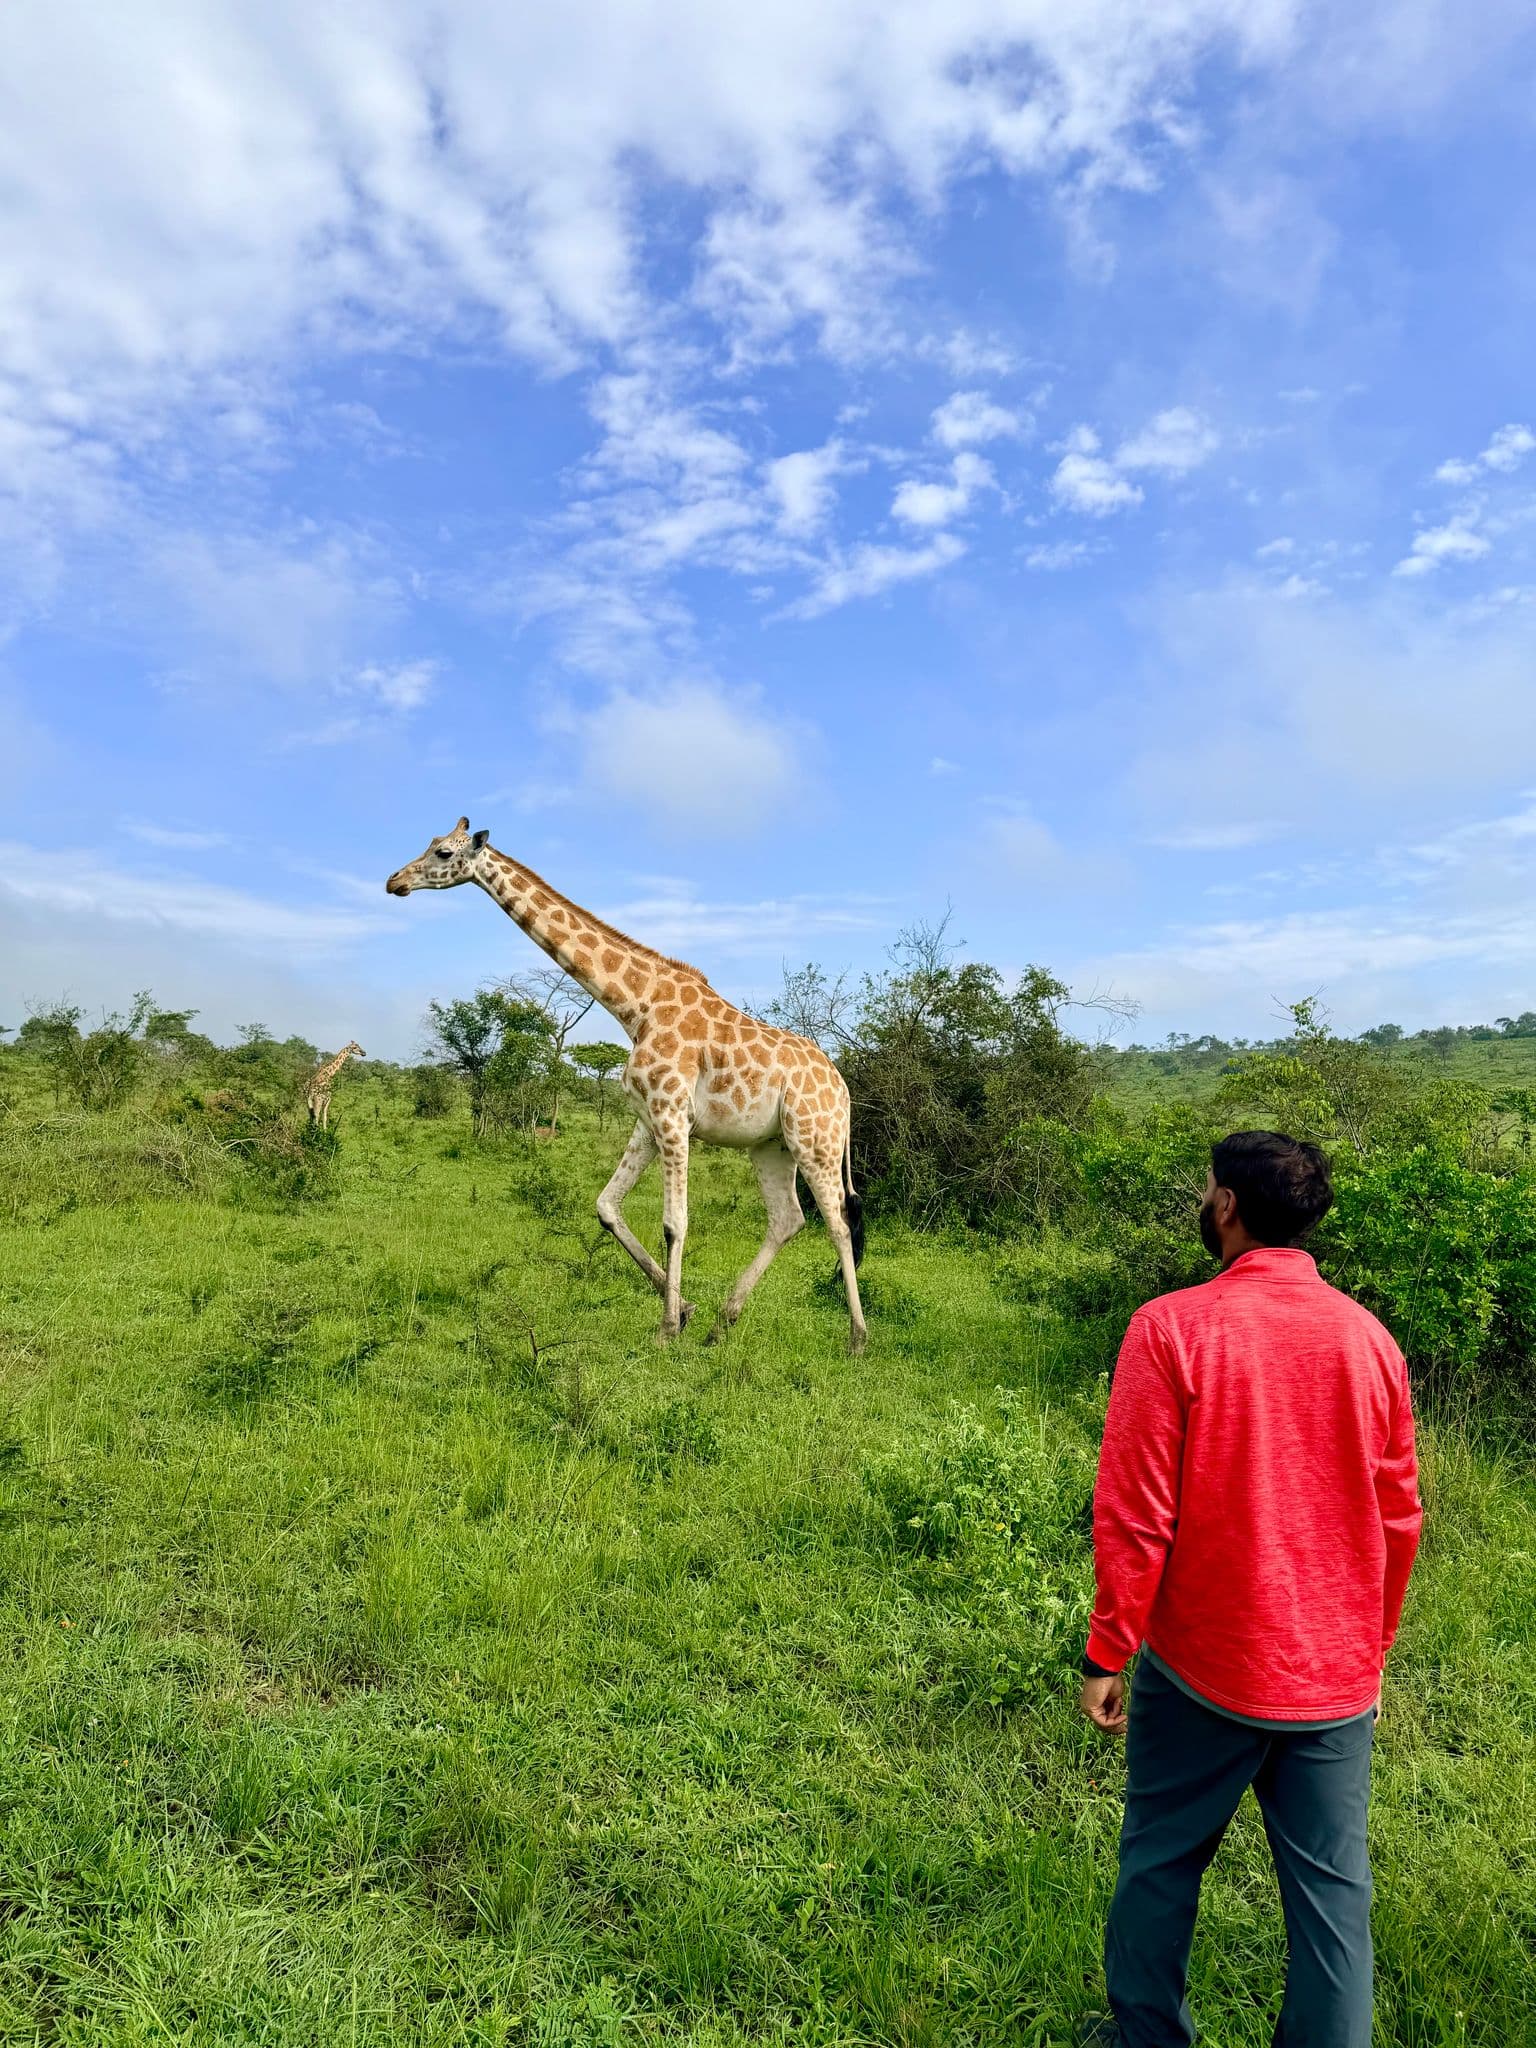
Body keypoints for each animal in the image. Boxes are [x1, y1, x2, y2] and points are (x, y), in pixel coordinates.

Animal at [385, 820, 867, 1351]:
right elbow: (606, 1206)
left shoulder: (672, 1115)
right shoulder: (647, 1118)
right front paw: (686, 1311)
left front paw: (666, 1329)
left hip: (815, 1138)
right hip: (771, 1144)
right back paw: (723, 1322)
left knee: (837, 1222)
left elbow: (675, 1223)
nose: (394, 882)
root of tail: (844, 1090)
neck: (635, 1007)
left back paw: (857, 1337)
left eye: (442, 853)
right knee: (788, 1218)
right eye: (430, 844)